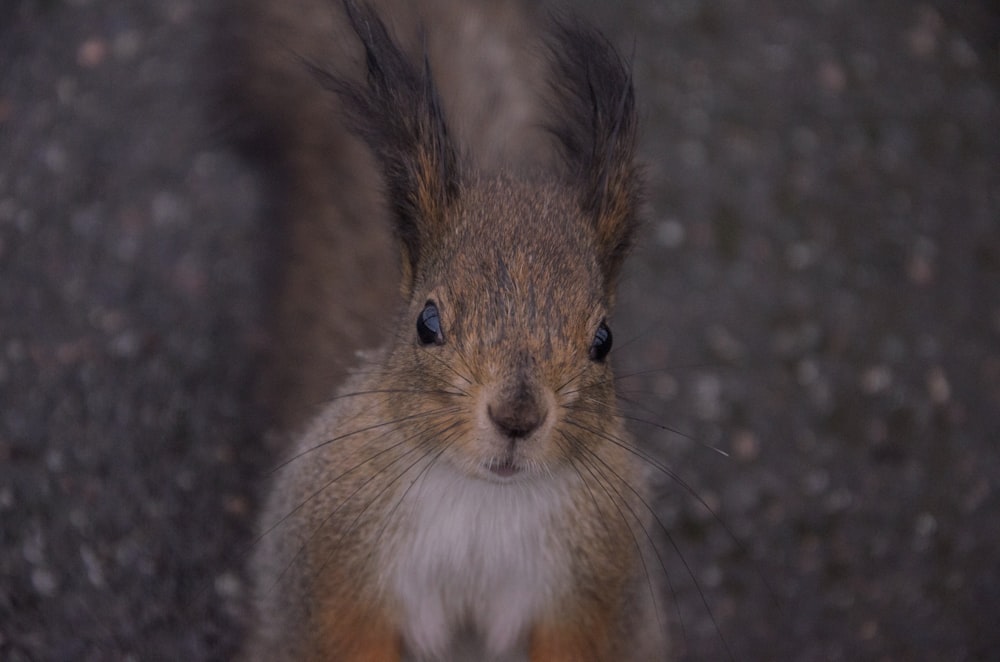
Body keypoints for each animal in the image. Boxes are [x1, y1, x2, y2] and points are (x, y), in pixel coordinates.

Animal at [223, 2, 668, 660]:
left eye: (603, 340)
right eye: (426, 323)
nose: (517, 417)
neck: (482, 498)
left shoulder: (597, 583)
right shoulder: (332, 560)